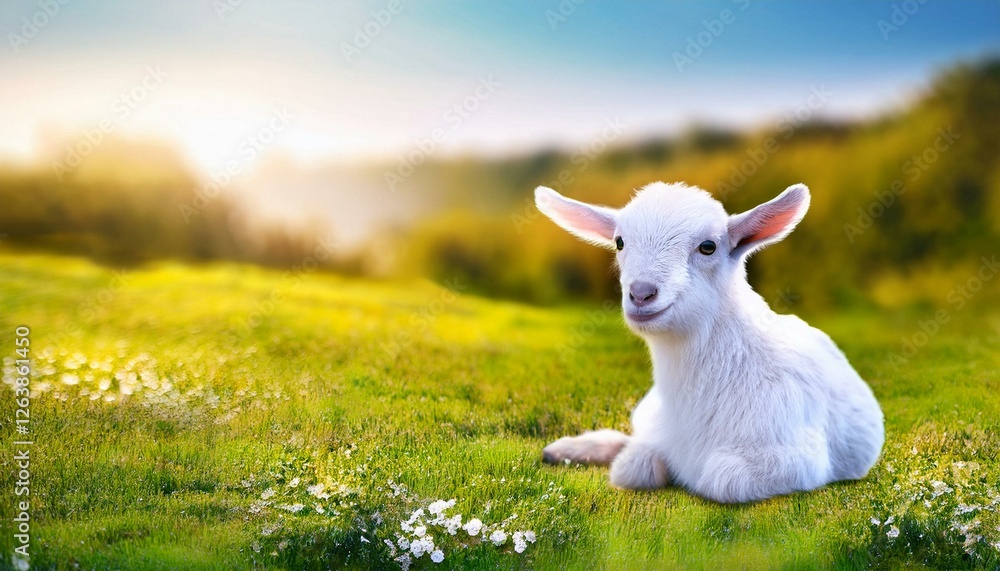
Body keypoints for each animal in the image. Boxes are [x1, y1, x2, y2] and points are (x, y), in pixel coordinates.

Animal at [534, 182, 884, 503]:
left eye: (708, 246)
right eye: (620, 242)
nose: (641, 293)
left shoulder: (800, 456)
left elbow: (718, 478)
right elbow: (633, 465)